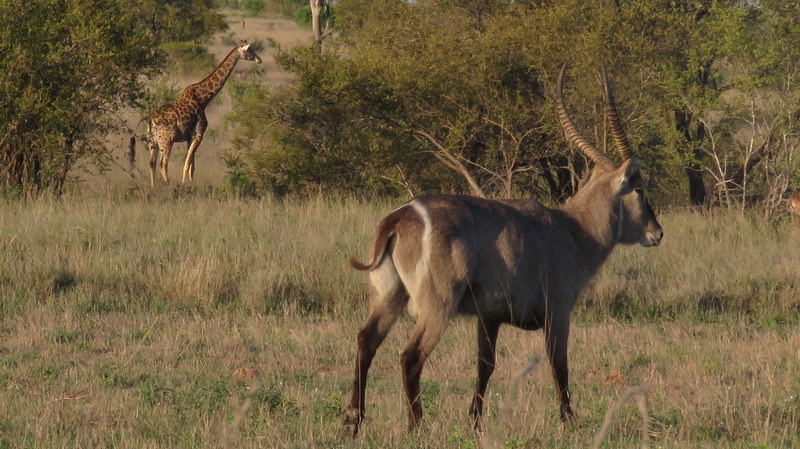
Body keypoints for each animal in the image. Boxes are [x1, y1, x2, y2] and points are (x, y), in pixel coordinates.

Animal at [141, 40, 262, 186]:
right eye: (249, 50)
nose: (259, 60)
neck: (203, 99)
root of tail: (150, 119)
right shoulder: (199, 133)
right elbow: (188, 163)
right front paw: (185, 183)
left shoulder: (189, 136)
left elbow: (192, 164)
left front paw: (190, 182)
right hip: (166, 140)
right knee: (162, 164)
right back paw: (169, 186)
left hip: (152, 142)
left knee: (151, 164)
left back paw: (154, 187)